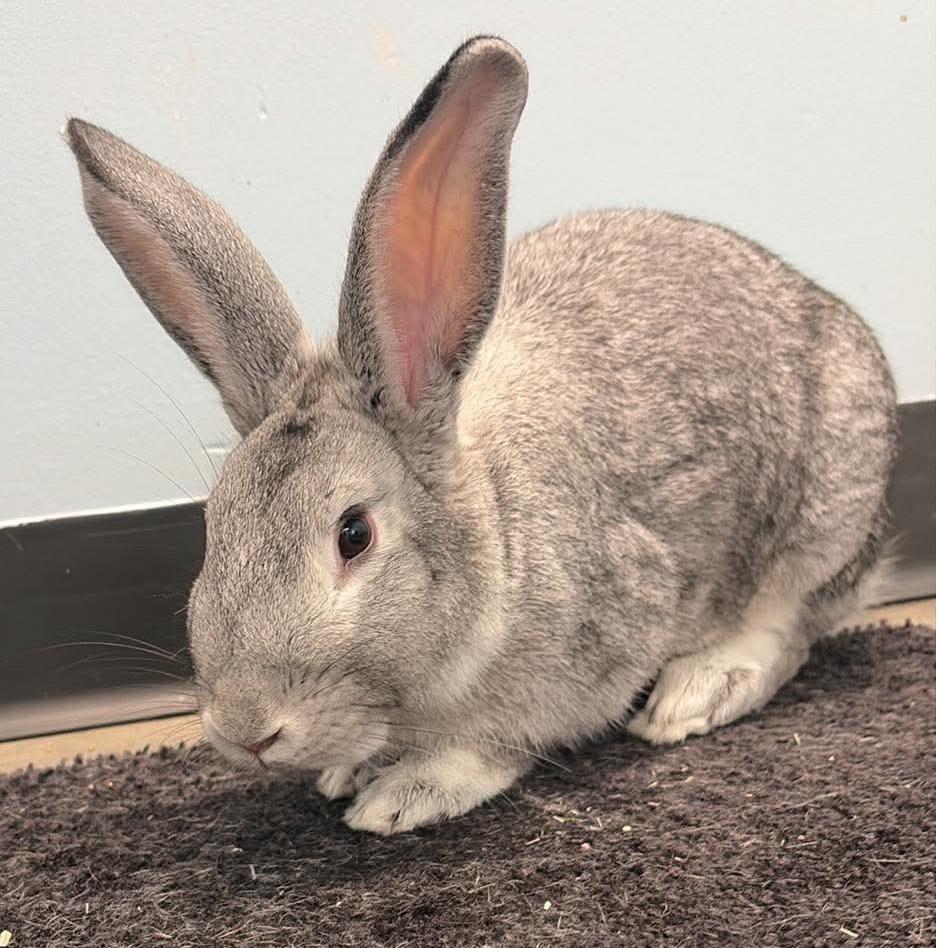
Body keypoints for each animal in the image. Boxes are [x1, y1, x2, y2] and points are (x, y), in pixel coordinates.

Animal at [66, 35, 897, 835]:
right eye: (214, 526)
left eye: (354, 535)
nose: (245, 730)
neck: (498, 538)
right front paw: (349, 771)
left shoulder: (597, 642)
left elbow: (495, 744)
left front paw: (405, 795)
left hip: (826, 511)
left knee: (790, 625)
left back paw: (696, 692)